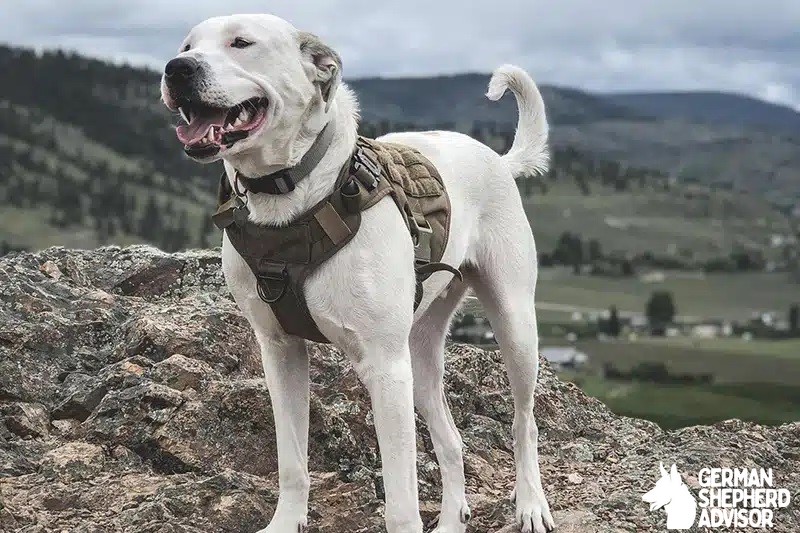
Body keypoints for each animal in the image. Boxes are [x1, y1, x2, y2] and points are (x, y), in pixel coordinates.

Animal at [160, 12, 552, 532]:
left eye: (241, 42)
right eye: (186, 46)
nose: (175, 69)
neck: (290, 196)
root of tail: (497, 158)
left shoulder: (385, 369)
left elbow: (402, 500)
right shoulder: (280, 352)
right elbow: (291, 461)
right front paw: (286, 520)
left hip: (513, 323)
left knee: (524, 421)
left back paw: (531, 505)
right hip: (419, 353)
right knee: (451, 441)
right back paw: (452, 518)